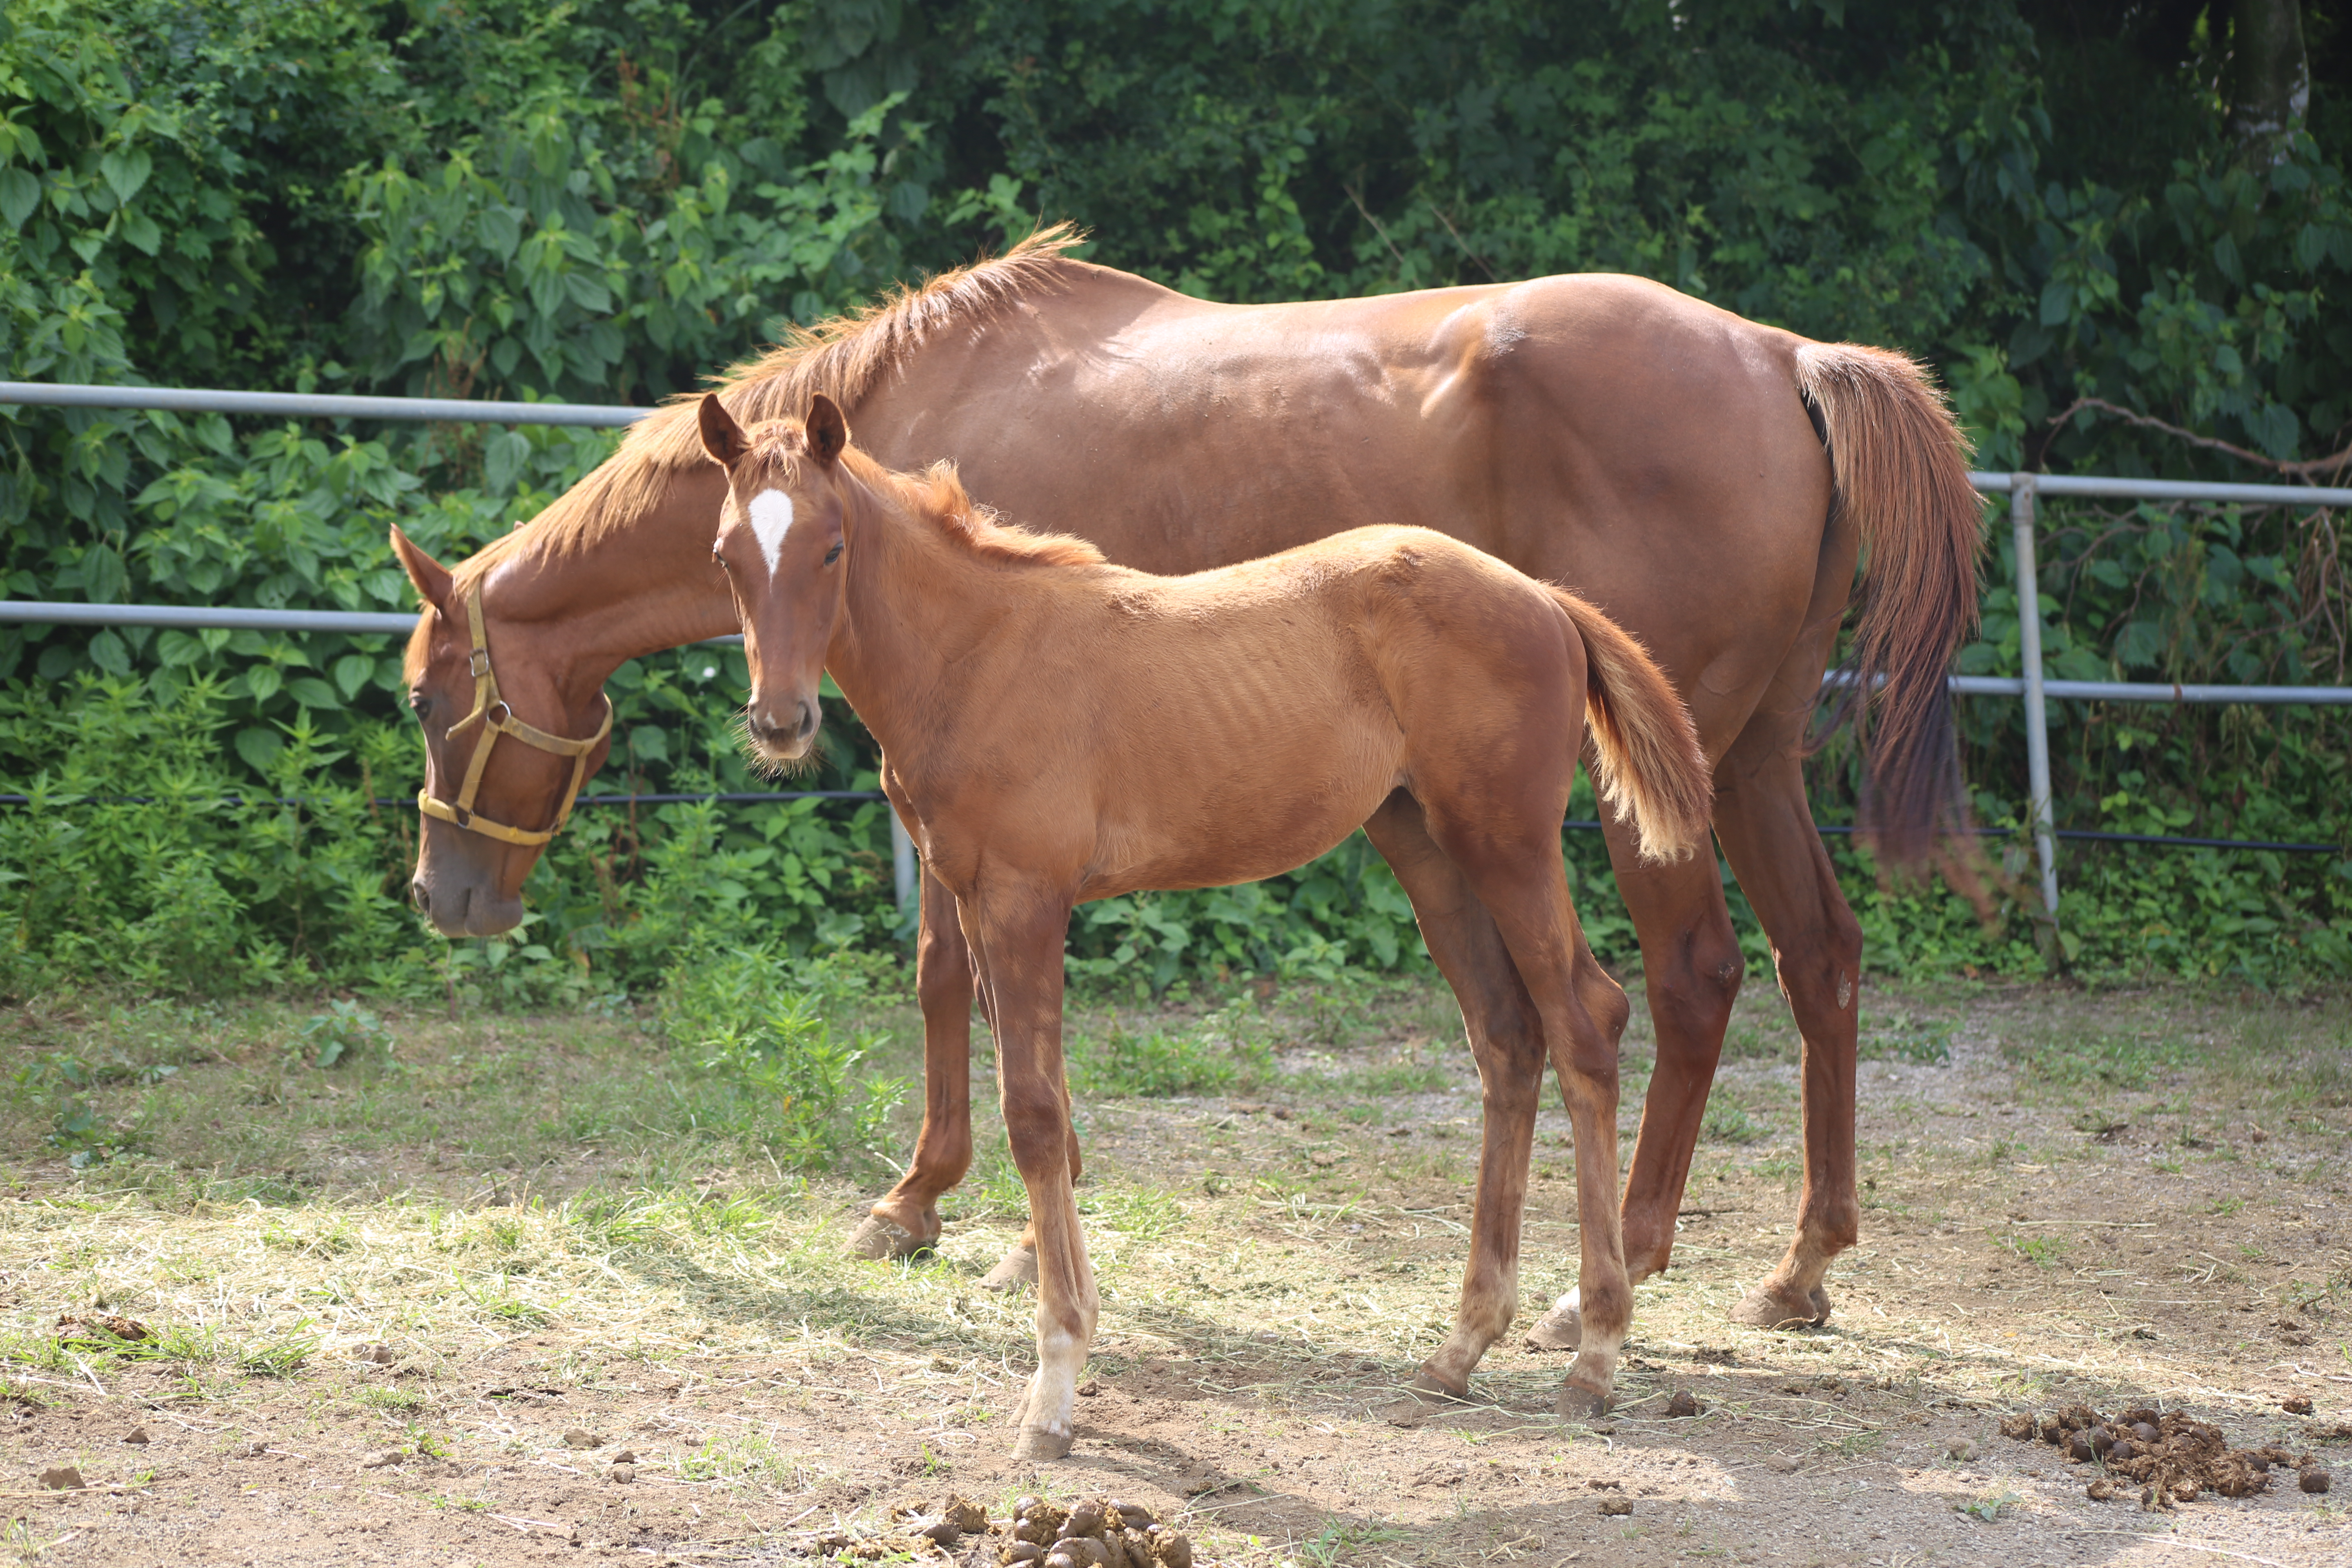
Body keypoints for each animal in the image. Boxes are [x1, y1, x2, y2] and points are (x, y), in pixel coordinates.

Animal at [696, 395, 1712, 1457]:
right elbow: (1037, 1096)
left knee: (1586, 1019)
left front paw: (1054, 1384)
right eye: (727, 554)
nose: (779, 722)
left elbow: (1032, 1115)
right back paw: (1459, 1348)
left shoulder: (1024, 901)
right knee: (1507, 1039)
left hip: (1505, 844)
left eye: (831, 547)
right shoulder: (976, 901)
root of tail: (1547, 600)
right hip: (1425, 847)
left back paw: (1593, 1354)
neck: (977, 653)